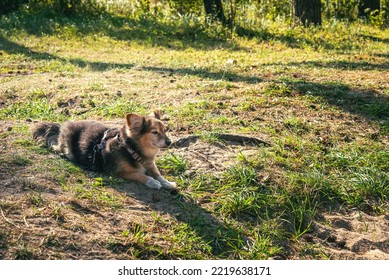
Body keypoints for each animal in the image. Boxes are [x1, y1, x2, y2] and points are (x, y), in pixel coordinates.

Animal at [33, 109, 176, 190]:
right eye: (155, 132)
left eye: (165, 130)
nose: (169, 142)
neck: (132, 150)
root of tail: (63, 125)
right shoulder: (119, 172)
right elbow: (140, 175)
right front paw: (152, 182)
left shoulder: (150, 164)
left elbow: (157, 174)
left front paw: (167, 182)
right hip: (68, 147)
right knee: (57, 147)